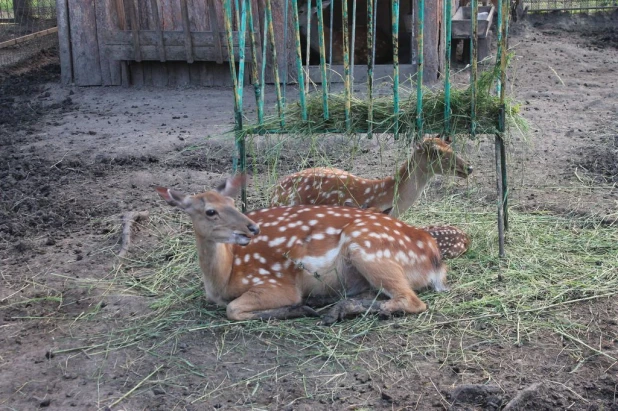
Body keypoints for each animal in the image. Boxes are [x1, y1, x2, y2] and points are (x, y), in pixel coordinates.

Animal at [156, 175, 448, 324]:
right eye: (210, 211)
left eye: (232, 202)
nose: (252, 228)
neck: (222, 278)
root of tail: (435, 261)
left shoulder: (274, 283)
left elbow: (233, 310)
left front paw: (295, 308)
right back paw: (327, 304)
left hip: (369, 249)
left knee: (411, 301)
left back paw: (331, 311)